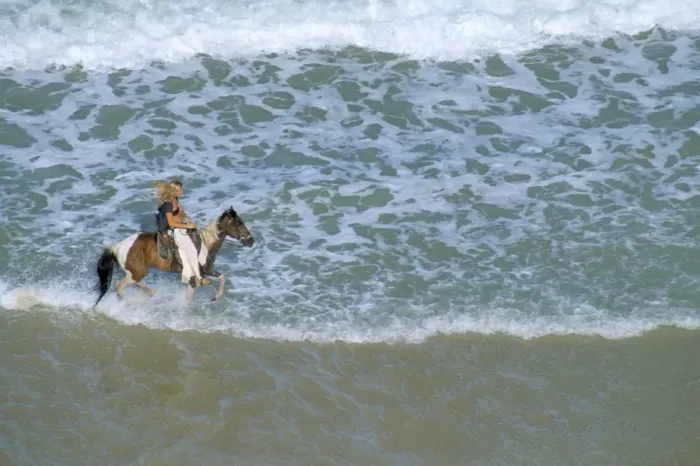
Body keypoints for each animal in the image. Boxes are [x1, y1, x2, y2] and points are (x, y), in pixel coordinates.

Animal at [93, 206, 254, 307]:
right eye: (239, 223)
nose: (251, 241)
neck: (205, 244)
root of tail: (117, 247)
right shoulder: (194, 277)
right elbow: (188, 298)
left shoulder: (206, 271)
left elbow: (222, 277)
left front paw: (215, 297)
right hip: (137, 272)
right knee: (119, 284)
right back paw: (126, 302)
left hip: (137, 272)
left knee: (137, 283)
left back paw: (152, 294)